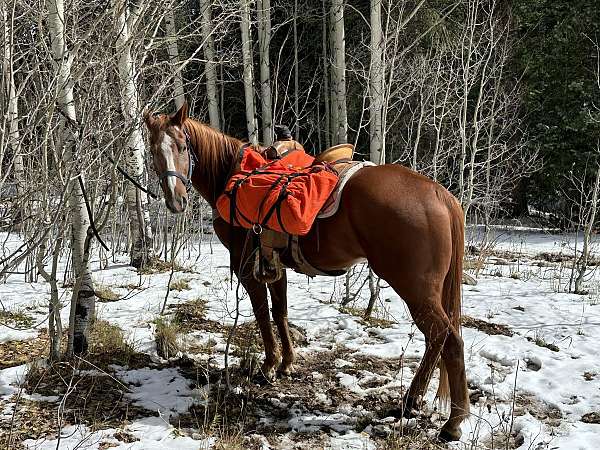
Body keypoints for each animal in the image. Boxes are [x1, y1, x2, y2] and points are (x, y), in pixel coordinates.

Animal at [142, 101, 468, 440]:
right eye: (152, 150)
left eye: (182, 146)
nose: (176, 200)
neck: (232, 174)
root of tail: (439, 194)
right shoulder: (274, 266)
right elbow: (280, 312)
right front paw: (286, 363)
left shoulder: (247, 268)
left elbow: (263, 314)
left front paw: (269, 366)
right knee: (437, 340)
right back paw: (412, 401)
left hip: (414, 288)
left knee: (448, 340)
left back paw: (452, 423)